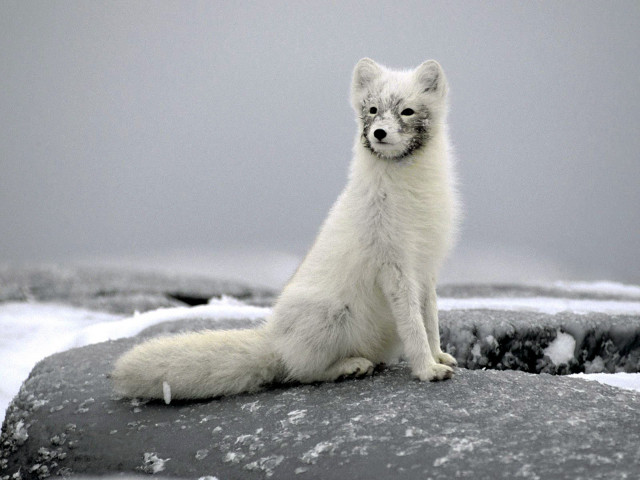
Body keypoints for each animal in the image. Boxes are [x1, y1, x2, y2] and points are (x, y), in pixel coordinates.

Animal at [111, 58, 460, 401]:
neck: (411, 191)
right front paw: (427, 369)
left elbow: (430, 319)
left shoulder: (426, 266)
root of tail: (274, 339)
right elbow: (413, 325)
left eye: (407, 111)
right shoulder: (394, 266)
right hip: (332, 315)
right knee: (301, 371)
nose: (379, 132)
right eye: (373, 109)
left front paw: (438, 355)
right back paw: (350, 366)